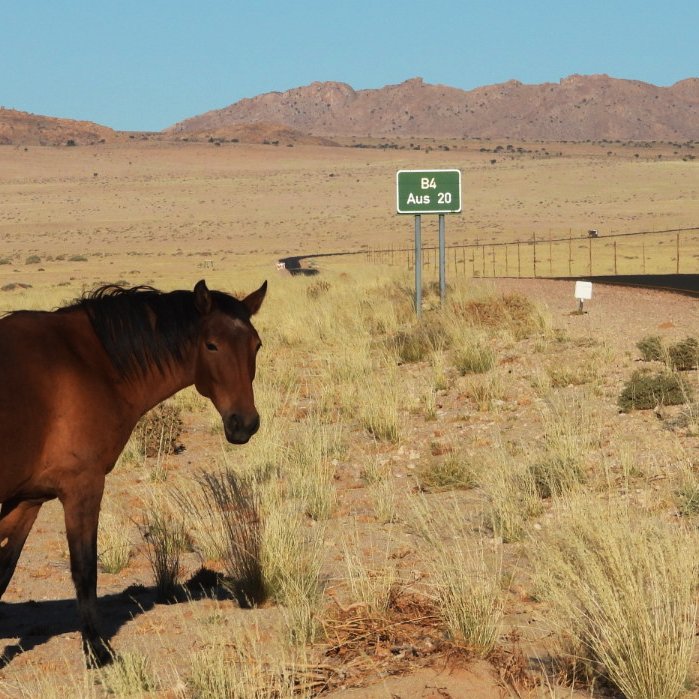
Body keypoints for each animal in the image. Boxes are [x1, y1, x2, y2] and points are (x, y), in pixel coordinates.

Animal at [0, 279, 266, 665]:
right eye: (211, 345)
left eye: (255, 345)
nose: (243, 423)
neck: (92, 365)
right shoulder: (82, 487)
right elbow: (85, 568)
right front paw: (98, 650)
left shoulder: (27, 499)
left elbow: (3, 571)